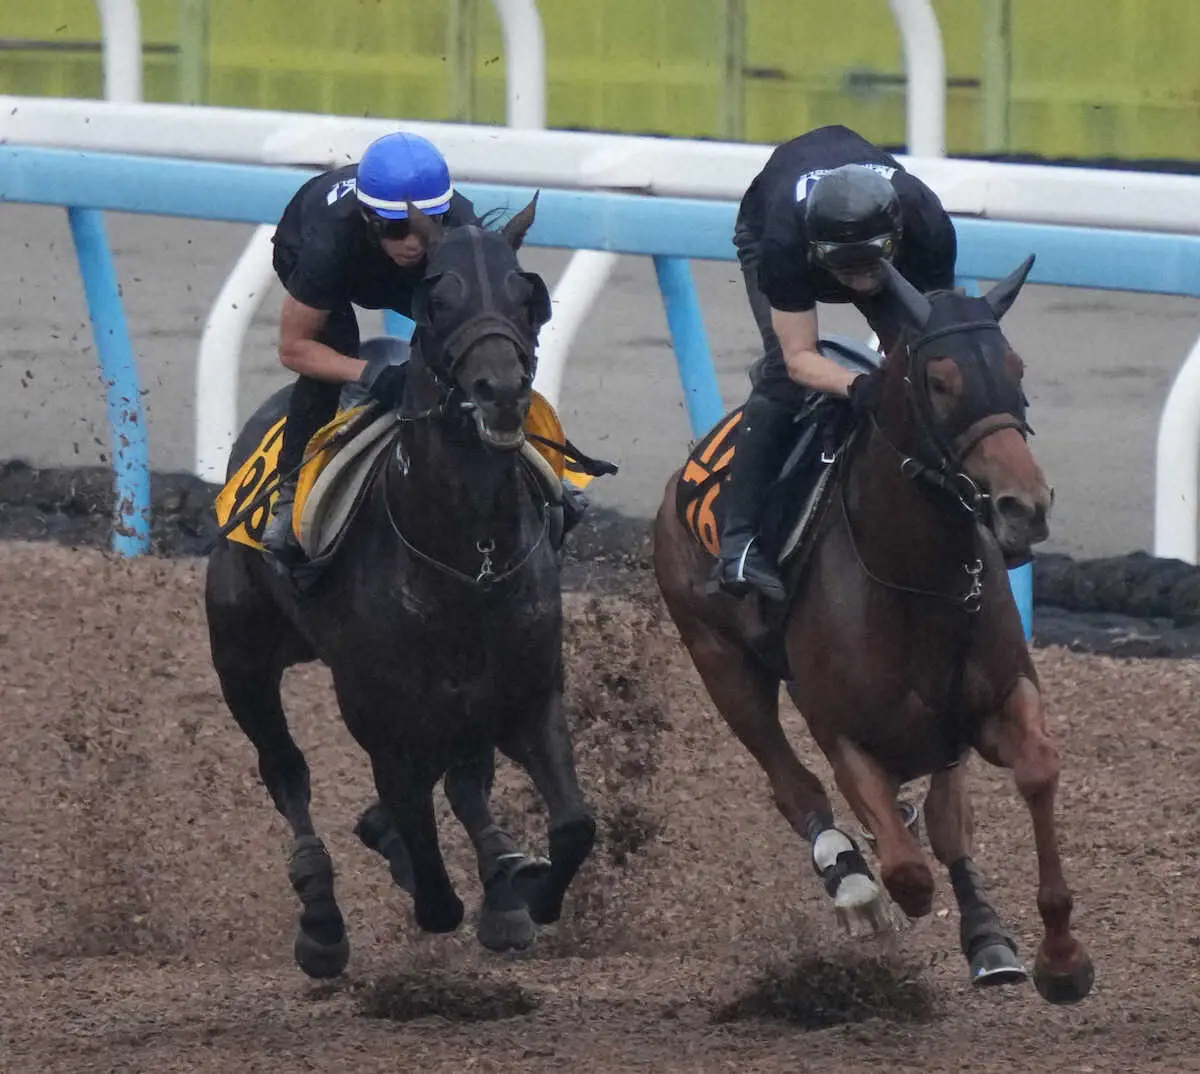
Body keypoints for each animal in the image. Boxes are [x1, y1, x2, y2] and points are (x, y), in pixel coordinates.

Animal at [210, 196, 600, 979]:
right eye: (439, 298)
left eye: (526, 293)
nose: (501, 392)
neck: (468, 555)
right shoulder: (382, 718)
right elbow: (426, 865)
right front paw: (414, 862)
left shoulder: (526, 692)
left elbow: (572, 823)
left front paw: (526, 892)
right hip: (240, 655)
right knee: (286, 771)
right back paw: (322, 917)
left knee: (464, 782)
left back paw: (498, 878)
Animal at [652, 262, 1094, 1008]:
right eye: (940, 380)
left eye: (1015, 365)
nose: (1024, 507)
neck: (916, 574)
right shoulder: (844, 735)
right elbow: (906, 870)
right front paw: (874, 888)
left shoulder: (999, 694)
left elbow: (1028, 773)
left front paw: (1060, 958)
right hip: (719, 658)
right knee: (794, 786)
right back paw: (851, 880)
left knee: (942, 817)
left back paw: (982, 931)